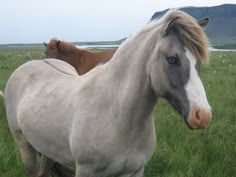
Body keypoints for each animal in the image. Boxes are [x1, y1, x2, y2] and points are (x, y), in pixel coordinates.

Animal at [4, 10, 212, 177]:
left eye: (198, 62)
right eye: (172, 59)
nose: (202, 115)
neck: (117, 116)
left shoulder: (135, 171)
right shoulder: (86, 170)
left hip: (47, 149)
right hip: (25, 146)